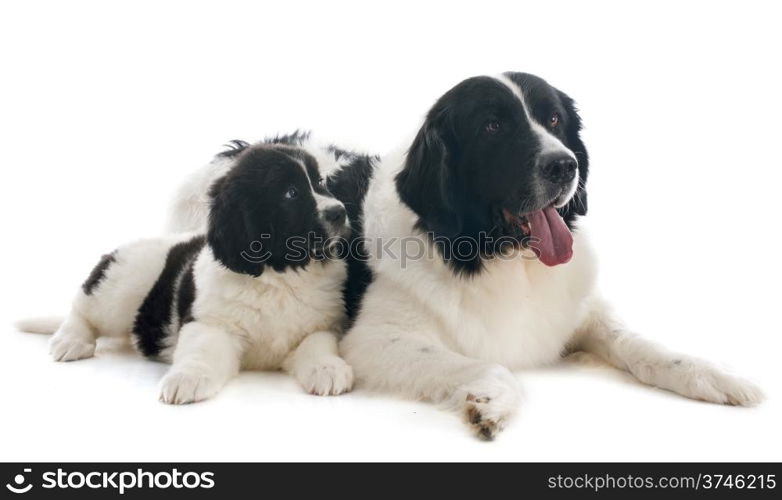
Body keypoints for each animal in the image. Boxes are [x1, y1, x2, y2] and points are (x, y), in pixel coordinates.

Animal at [18, 142, 356, 402]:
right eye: (291, 193)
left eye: (320, 183)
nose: (340, 212)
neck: (280, 276)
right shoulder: (210, 323)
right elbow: (202, 352)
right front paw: (186, 379)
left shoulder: (320, 325)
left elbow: (318, 345)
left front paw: (328, 369)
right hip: (121, 283)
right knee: (82, 308)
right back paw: (69, 341)